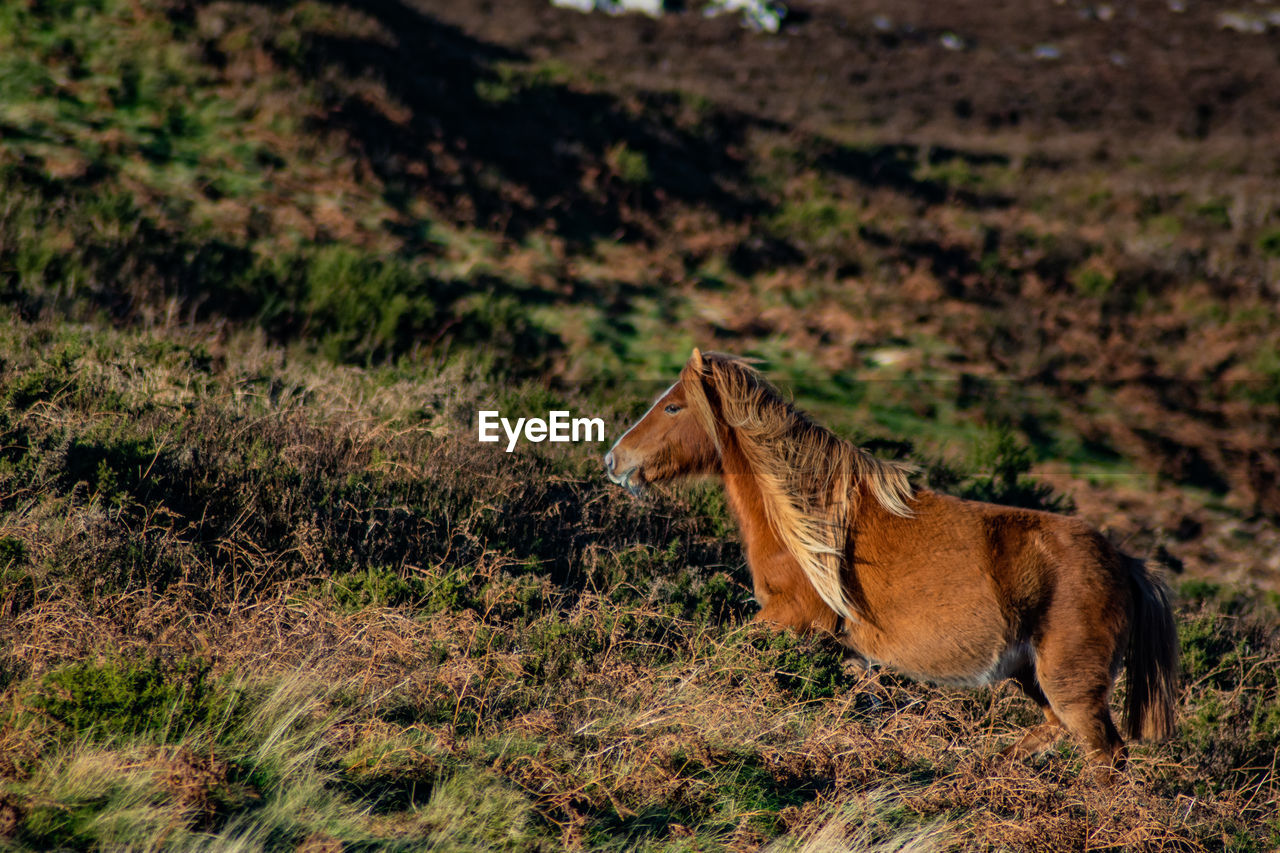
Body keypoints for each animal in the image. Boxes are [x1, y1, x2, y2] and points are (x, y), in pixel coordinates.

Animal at [606, 348, 1177, 773]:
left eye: (673, 407)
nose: (614, 460)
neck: (807, 515)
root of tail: (1124, 562)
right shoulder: (848, 651)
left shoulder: (791, 617)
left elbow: (720, 655)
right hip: (1032, 677)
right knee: (1058, 732)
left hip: (1071, 684)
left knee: (1106, 754)